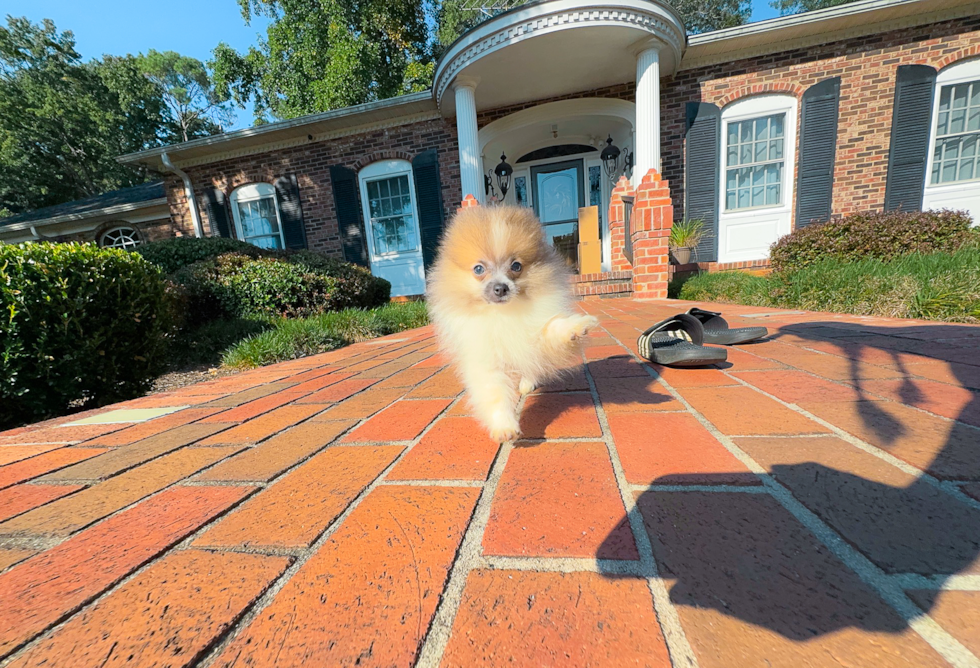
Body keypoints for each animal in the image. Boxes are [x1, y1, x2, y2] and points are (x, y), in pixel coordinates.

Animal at [426, 204, 596, 444]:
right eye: (478, 269)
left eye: (516, 266)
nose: (501, 288)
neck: (502, 315)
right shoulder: (487, 359)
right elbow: (495, 393)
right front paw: (504, 425)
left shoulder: (533, 336)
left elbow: (553, 329)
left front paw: (577, 326)